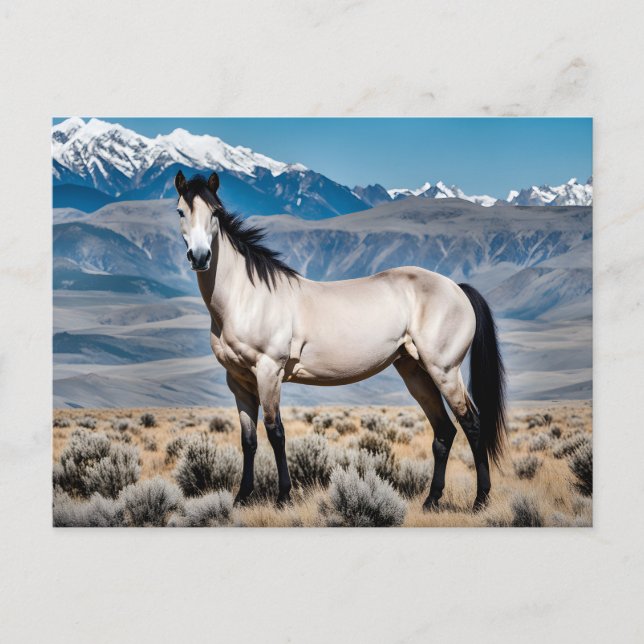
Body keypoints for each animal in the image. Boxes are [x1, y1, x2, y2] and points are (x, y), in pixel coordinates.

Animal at [173, 170, 506, 512]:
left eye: (215, 213)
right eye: (181, 211)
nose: (200, 257)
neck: (248, 297)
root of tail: (456, 287)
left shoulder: (269, 372)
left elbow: (276, 433)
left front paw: (283, 497)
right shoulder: (238, 380)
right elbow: (248, 439)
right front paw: (242, 497)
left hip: (444, 370)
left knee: (472, 425)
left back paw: (480, 500)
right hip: (414, 371)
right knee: (444, 431)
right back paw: (431, 500)